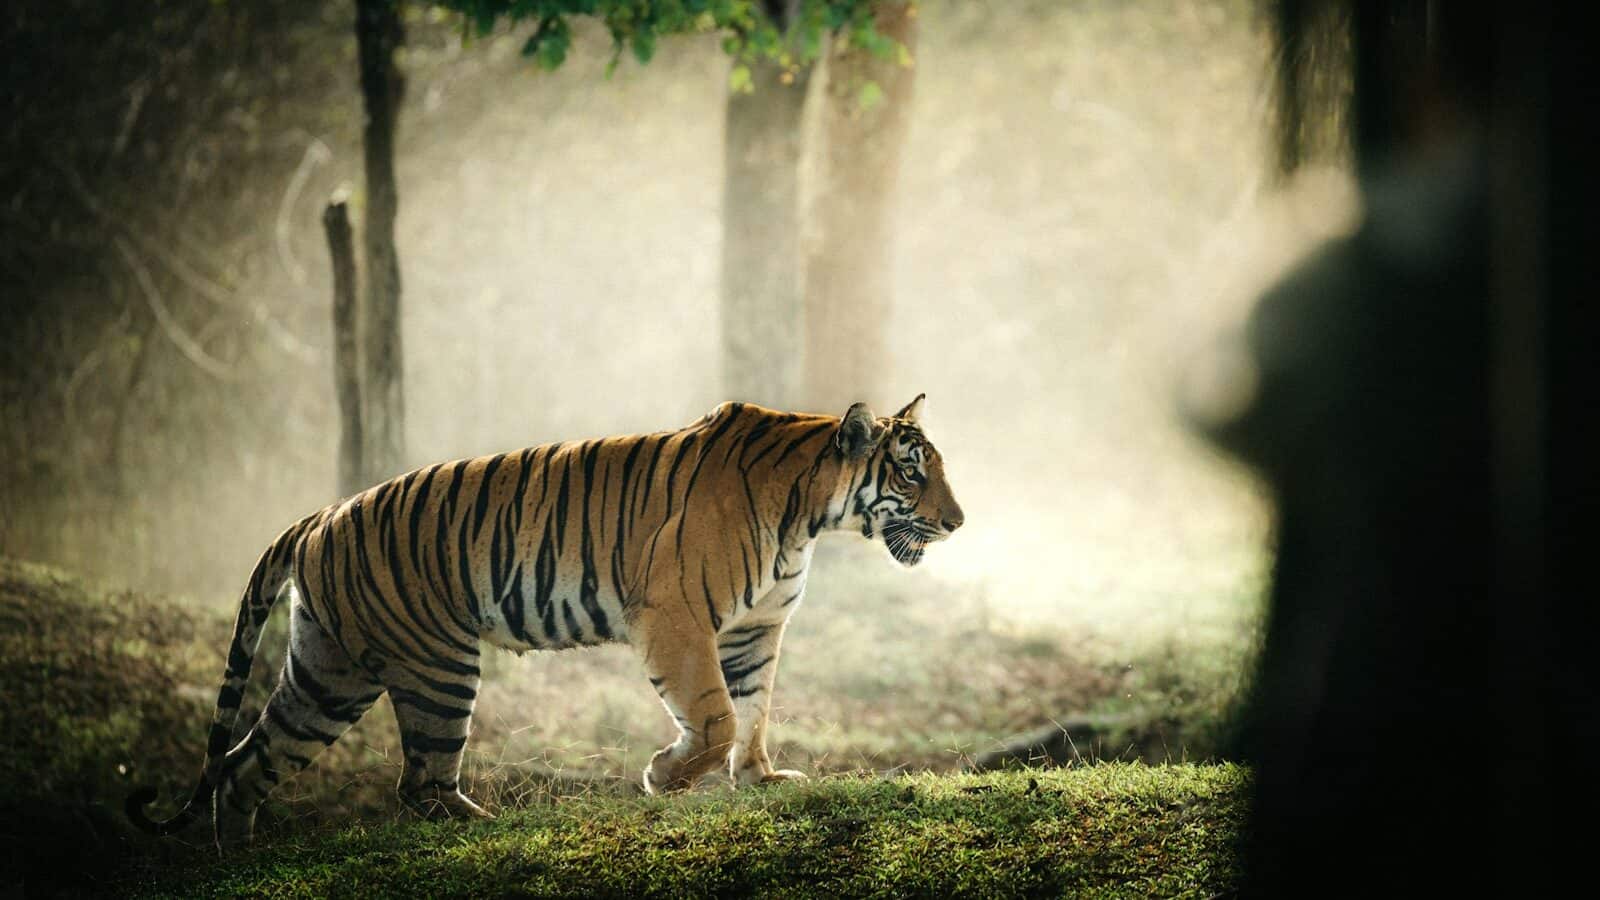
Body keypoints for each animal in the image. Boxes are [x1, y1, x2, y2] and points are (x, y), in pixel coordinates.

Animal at [127, 394, 963, 845]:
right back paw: (486, 827)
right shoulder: (675, 615)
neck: (808, 516)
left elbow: (753, 713)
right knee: (417, 784)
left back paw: (240, 856)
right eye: (910, 472)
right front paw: (665, 776)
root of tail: (320, 515)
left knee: (248, 764)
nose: (958, 522)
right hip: (437, 665)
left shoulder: (756, 631)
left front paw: (760, 779)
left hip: (328, 672)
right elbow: (717, 716)